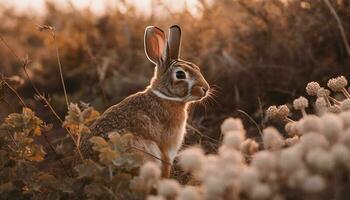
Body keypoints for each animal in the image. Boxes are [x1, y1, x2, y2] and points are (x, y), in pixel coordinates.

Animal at [80, 24, 209, 177]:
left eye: (196, 67)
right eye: (180, 74)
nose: (206, 89)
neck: (165, 96)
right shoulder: (166, 147)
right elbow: (166, 163)